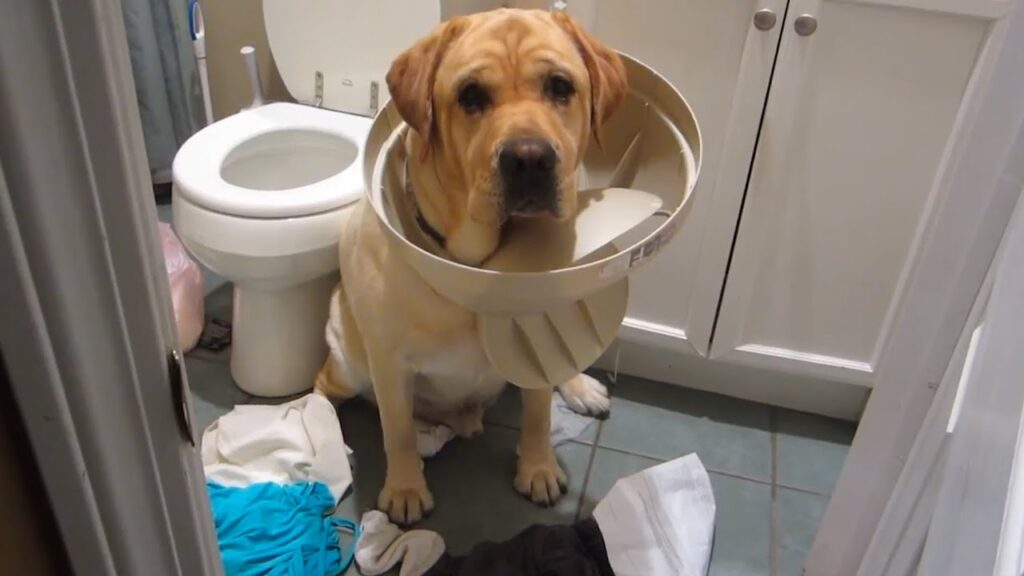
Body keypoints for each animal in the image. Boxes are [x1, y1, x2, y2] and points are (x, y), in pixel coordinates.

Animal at [315, 8, 626, 522]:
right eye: (471, 96)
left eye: (560, 87)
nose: (529, 158)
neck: (483, 267)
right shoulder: (389, 365)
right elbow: (397, 431)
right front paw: (404, 489)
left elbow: (538, 415)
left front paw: (537, 468)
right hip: (348, 361)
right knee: (322, 387)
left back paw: (579, 386)